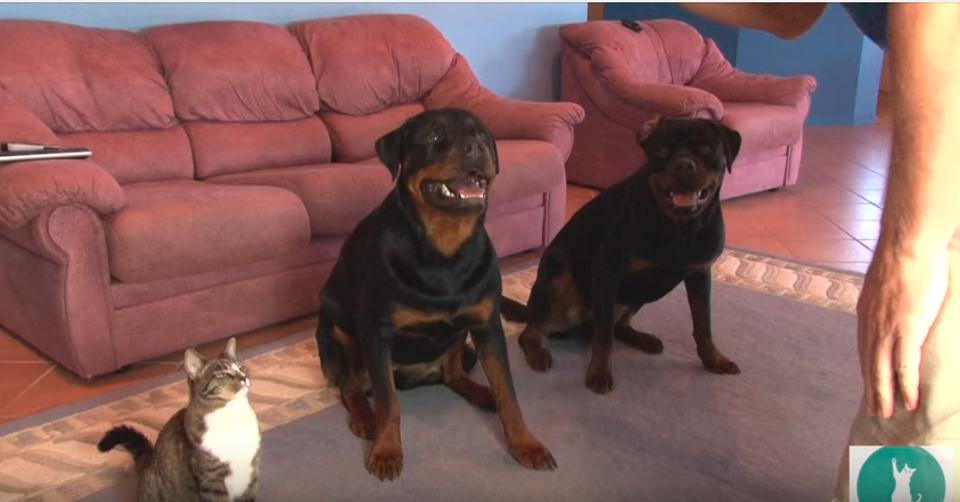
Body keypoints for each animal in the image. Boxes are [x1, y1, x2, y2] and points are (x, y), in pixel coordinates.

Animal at [99, 340, 260, 500]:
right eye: (222, 374)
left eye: (241, 368)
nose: (244, 377)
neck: (233, 414)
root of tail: (149, 460)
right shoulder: (212, 482)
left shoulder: (251, 477)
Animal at [316, 109, 556, 478]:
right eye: (433, 137)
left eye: (481, 135)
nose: (475, 148)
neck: (446, 247)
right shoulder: (377, 331)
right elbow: (388, 403)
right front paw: (386, 450)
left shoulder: (487, 326)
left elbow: (508, 393)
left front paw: (525, 444)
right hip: (338, 330)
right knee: (351, 386)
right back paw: (364, 418)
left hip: (464, 343)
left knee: (453, 374)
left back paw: (481, 394)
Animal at [502, 115, 744, 394]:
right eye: (663, 150)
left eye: (706, 149)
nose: (684, 165)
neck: (679, 228)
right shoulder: (608, 269)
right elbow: (604, 335)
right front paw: (599, 372)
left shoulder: (700, 273)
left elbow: (703, 324)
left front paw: (714, 359)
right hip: (556, 276)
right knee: (534, 330)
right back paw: (538, 351)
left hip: (640, 294)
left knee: (619, 325)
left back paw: (642, 338)